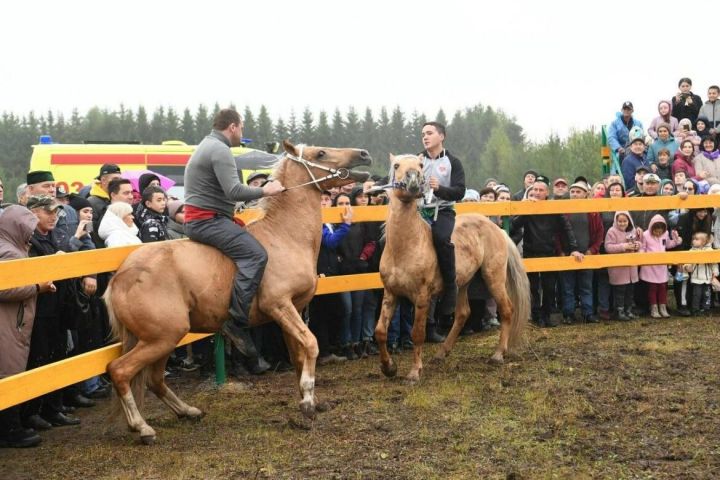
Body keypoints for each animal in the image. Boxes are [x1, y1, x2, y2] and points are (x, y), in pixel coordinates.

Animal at [107, 141, 372, 444]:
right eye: (320, 154)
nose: (364, 155)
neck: (284, 236)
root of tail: (120, 276)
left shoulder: (292, 310)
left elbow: (298, 355)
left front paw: (310, 400)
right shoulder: (280, 306)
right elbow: (312, 344)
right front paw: (307, 401)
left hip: (162, 338)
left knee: (153, 379)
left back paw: (187, 411)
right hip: (161, 337)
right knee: (120, 371)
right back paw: (142, 427)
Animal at [376, 154, 528, 382]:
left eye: (420, 165)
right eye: (396, 166)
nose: (413, 181)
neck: (404, 247)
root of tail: (496, 228)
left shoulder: (422, 297)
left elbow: (418, 333)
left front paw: (414, 372)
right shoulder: (391, 293)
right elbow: (380, 331)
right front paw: (389, 368)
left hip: (493, 278)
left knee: (507, 309)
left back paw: (498, 354)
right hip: (462, 283)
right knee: (463, 314)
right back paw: (441, 353)